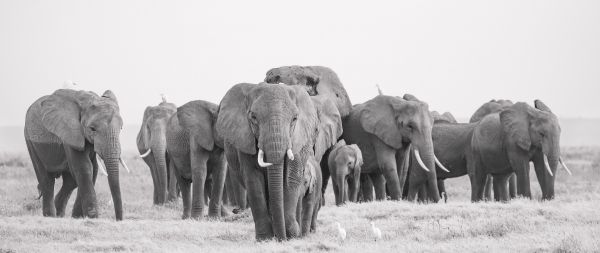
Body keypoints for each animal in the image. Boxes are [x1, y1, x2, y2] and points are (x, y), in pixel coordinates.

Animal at [24, 88, 125, 219]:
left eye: (121, 128)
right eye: (92, 129)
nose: (118, 220)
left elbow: (93, 170)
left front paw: (79, 218)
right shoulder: (70, 133)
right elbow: (84, 168)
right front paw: (92, 217)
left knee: (70, 183)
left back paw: (59, 215)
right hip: (31, 142)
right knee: (47, 181)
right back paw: (50, 216)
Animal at [216, 83, 340, 241]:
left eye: (294, 118)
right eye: (253, 117)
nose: (282, 238)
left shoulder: (298, 139)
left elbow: (291, 178)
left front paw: (291, 235)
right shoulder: (245, 141)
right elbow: (253, 181)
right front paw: (265, 239)